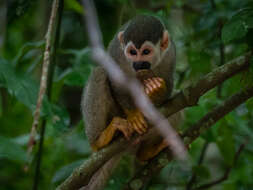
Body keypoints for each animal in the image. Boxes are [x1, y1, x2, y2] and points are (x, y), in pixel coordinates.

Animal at [81, 15, 180, 160]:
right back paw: (99, 141)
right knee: (99, 72)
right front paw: (133, 115)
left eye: (146, 52)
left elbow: (168, 85)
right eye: (132, 52)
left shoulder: (170, 54)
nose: (138, 64)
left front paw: (157, 91)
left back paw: (145, 153)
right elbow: (116, 81)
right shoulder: (118, 54)